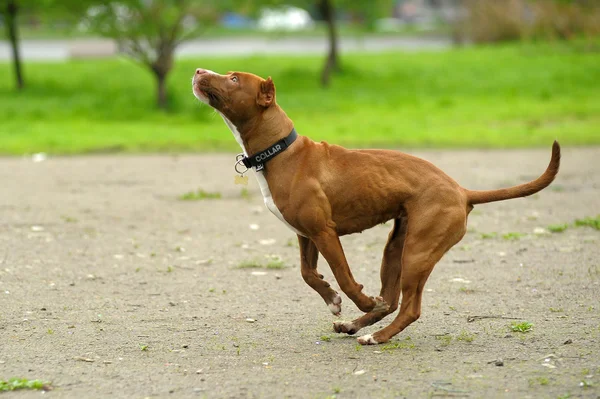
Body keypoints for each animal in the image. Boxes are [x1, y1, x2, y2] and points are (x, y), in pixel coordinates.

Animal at [193, 68, 564, 344]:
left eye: (234, 78)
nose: (198, 70)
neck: (281, 150)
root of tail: (462, 191)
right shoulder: (306, 234)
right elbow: (308, 273)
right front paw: (333, 301)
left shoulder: (325, 232)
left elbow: (344, 277)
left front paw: (357, 298)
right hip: (397, 247)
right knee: (393, 300)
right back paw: (356, 325)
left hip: (418, 251)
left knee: (410, 307)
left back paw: (377, 336)